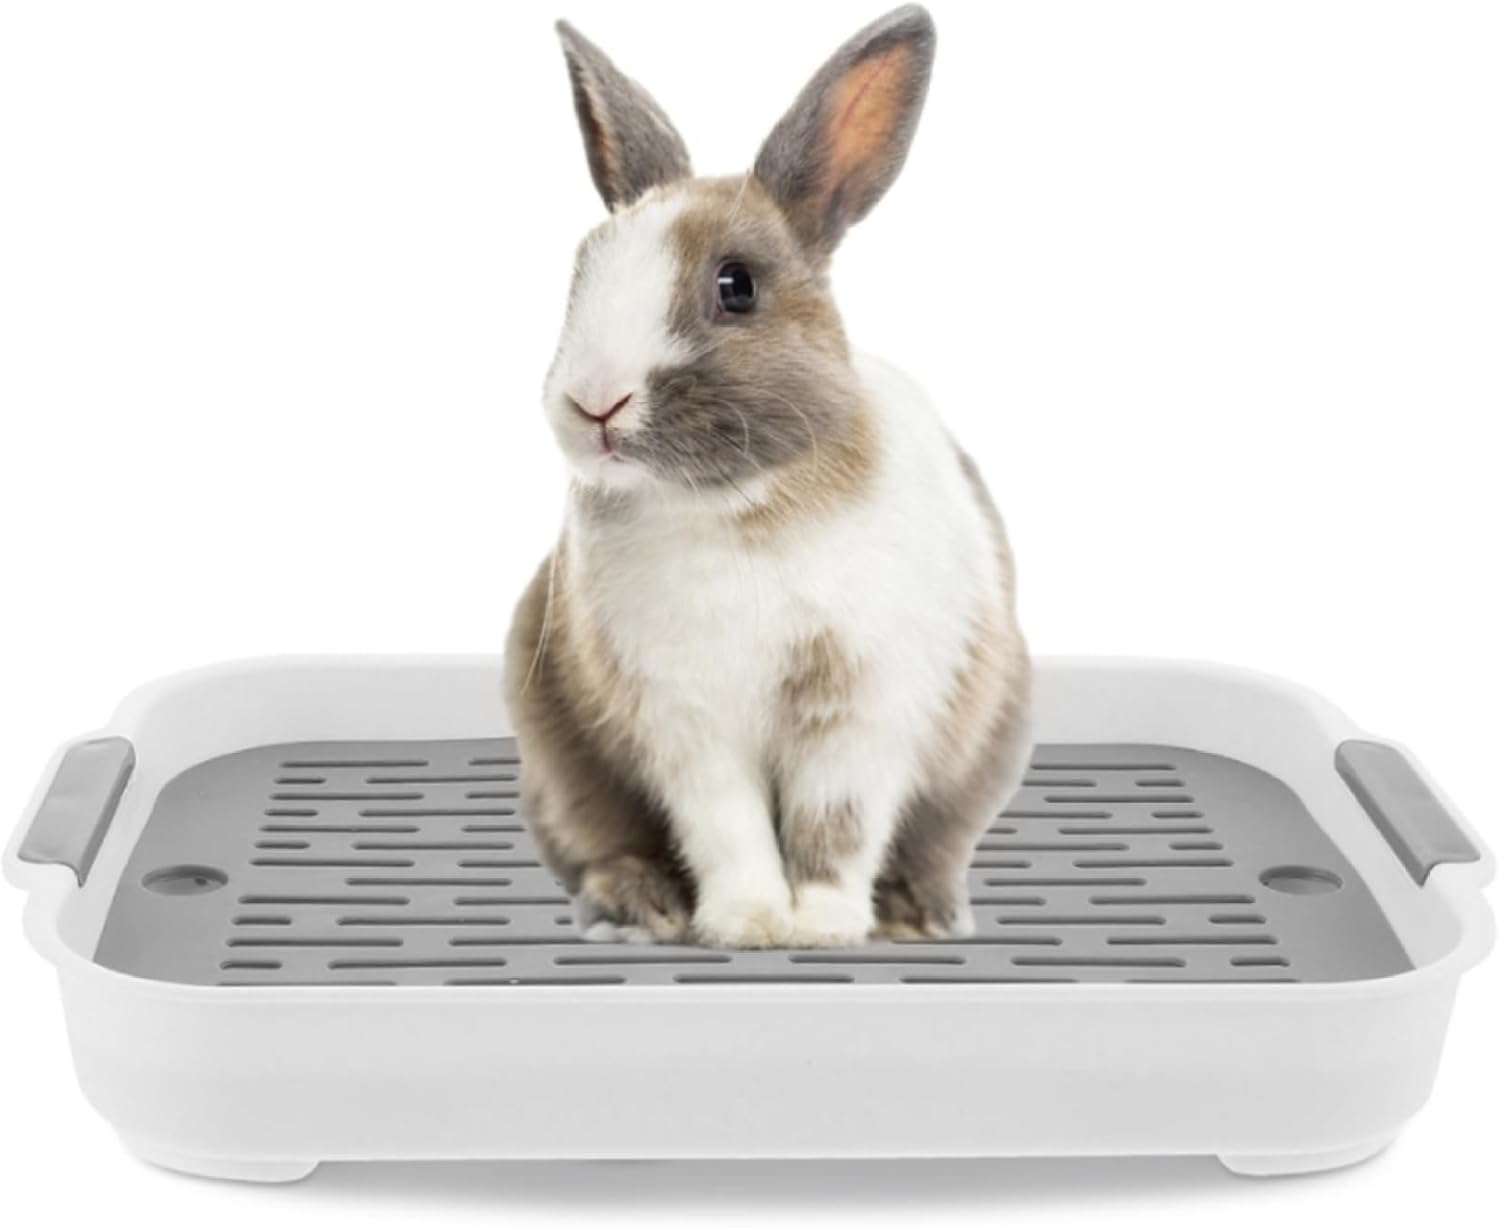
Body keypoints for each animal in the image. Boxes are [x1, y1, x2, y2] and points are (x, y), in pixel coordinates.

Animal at [504, 4, 1031, 949]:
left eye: (736, 286)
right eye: (581, 274)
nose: (594, 403)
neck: (739, 506)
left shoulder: (860, 711)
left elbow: (836, 825)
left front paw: (820, 925)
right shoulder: (687, 722)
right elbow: (728, 826)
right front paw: (749, 922)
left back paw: (920, 915)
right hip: (558, 766)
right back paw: (643, 904)